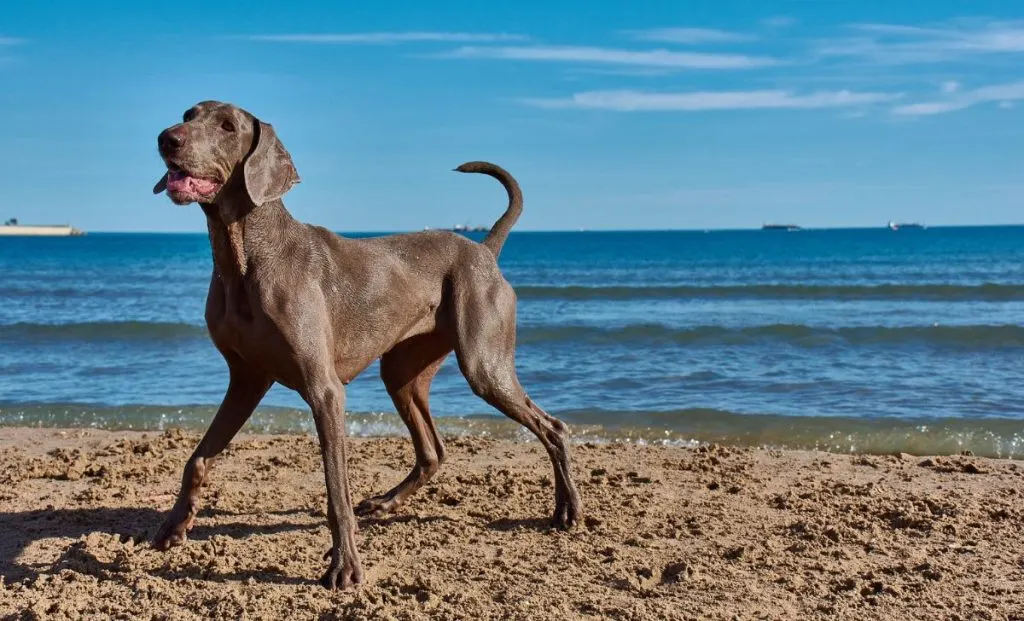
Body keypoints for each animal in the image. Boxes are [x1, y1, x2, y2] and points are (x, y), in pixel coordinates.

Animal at [149, 100, 581, 590]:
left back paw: (567, 509)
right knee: (432, 450)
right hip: (402, 372)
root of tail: (483, 250)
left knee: (552, 427)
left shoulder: (324, 391)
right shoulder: (246, 379)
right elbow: (198, 459)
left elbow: (336, 490)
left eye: (226, 126)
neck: (244, 255)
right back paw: (387, 502)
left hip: (483, 363)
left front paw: (344, 566)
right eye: (189, 113)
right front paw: (173, 526)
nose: (166, 138)